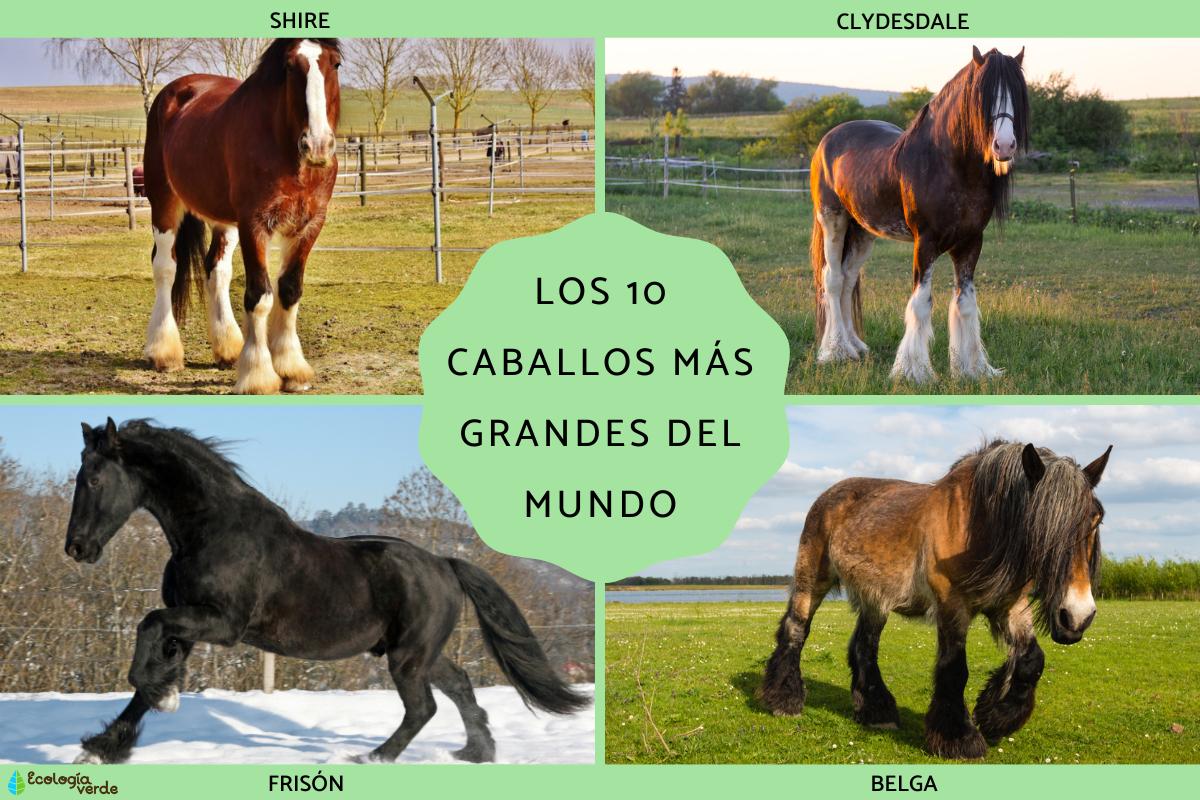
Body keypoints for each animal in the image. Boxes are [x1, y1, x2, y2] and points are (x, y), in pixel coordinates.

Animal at [64, 418, 589, 764]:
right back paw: (475, 752)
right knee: (458, 686)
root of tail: (445, 564)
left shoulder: (221, 623)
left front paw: (157, 702)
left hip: (408, 656)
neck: (212, 530)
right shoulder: (189, 619)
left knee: (423, 706)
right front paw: (103, 747)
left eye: (94, 478)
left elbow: (145, 638)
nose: (76, 547)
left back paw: (372, 758)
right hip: (419, 652)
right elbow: (151, 667)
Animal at [142, 38, 342, 394]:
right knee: (165, 267)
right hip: (164, 203)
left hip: (225, 221)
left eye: (335, 64)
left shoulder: (309, 225)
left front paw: (291, 369)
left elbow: (290, 290)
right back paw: (164, 352)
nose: (318, 145)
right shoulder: (254, 224)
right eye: (289, 66)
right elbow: (259, 295)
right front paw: (258, 375)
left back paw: (228, 348)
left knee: (216, 270)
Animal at [760, 439, 1110, 759]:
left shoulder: (1010, 606)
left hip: (875, 599)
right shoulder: (951, 605)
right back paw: (784, 700)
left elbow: (1031, 661)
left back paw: (877, 711)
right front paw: (960, 738)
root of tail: (829, 494)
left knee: (864, 646)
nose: (1077, 616)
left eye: (1096, 520)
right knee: (796, 629)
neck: (977, 525)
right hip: (812, 579)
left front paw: (996, 718)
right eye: (1040, 525)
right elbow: (954, 669)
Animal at [809, 46, 1029, 383]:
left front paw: (972, 369)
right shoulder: (925, 243)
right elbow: (921, 303)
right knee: (832, 279)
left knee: (848, 279)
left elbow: (966, 303)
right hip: (833, 220)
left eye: (1017, 93)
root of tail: (828, 139)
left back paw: (856, 346)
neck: (947, 164)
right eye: (982, 94)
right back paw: (835, 352)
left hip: (862, 232)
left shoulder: (970, 242)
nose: (1004, 146)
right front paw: (913, 371)